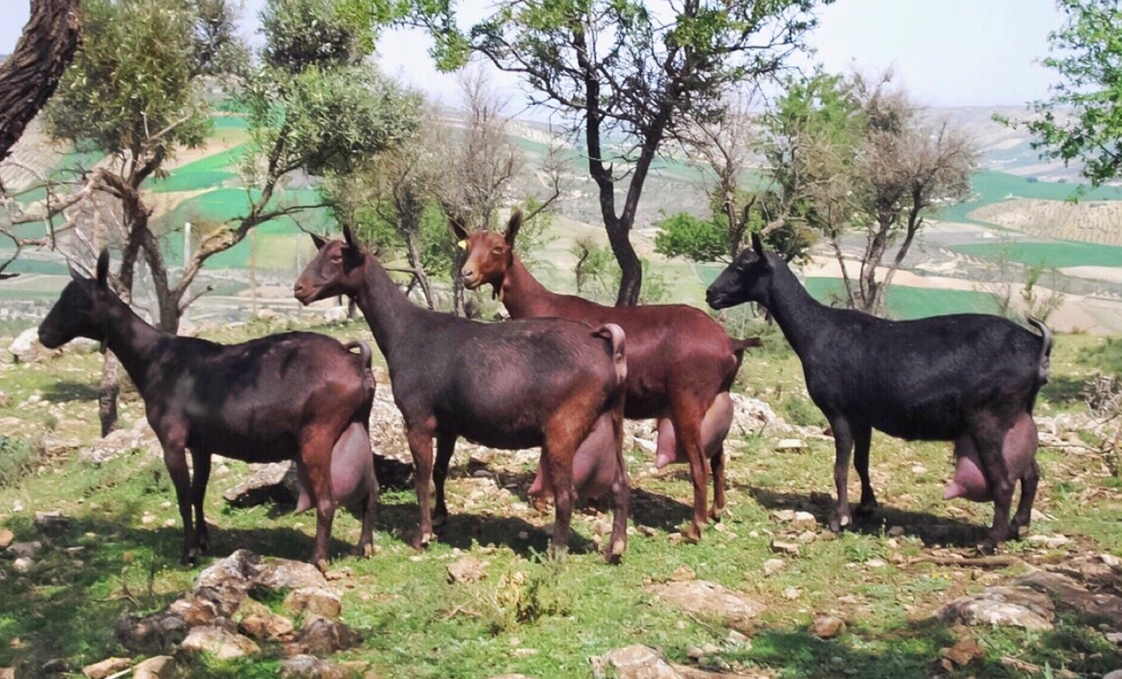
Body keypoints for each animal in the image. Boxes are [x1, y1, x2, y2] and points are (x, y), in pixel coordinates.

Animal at [39, 249, 376, 565]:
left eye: (77, 300)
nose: (44, 333)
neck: (154, 358)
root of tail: (356, 363)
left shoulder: (172, 439)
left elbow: (183, 495)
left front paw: (187, 552)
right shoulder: (201, 444)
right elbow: (198, 492)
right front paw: (201, 542)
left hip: (318, 435)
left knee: (327, 499)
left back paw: (319, 558)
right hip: (361, 424)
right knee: (371, 489)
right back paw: (365, 546)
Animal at [293, 225, 632, 558]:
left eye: (337, 257)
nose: (299, 288)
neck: (405, 331)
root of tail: (607, 348)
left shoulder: (418, 418)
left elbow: (422, 476)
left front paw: (422, 535)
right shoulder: (448, 426)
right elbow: (440, 471)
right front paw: (440, 518)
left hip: (565, 426)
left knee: (567, 491)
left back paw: (557, 553)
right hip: (612, 419)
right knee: (621, 482)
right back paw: (615, 546)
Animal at [455, 212, 762, 540]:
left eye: (498, 248)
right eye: (468, 245)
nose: (467, 274)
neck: (542, 304)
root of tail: (730, 341)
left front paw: (544, 499)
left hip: (688, 399)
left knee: (699, 462)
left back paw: (695, 526)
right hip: (715, 398)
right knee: (718, 457)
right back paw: (716, 510)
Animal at [709, 231, 1050, 545]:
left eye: (743, 265)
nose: (711, 292)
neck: (815, 331)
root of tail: (1038, 346)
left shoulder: (839, 411)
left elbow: (840, 467)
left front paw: (840, 518)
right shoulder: (863, 415)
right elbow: (861, 462)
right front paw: (866, 506)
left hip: (989, 417)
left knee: (1003, 480)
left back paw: (991, 540)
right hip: (1018, 415)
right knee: (1031, 472)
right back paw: (1020, 525)